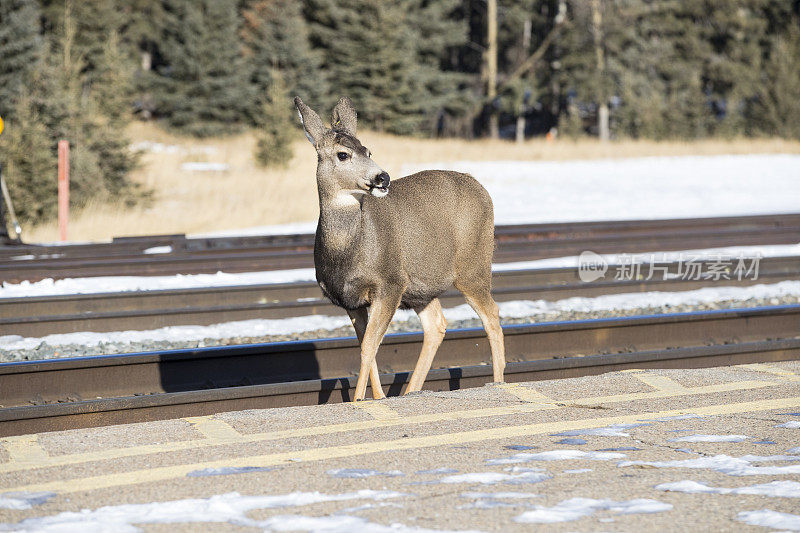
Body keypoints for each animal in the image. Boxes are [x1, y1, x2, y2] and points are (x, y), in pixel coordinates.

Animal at [294, 96, 506, 404]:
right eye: (343, 154)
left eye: (368, 149)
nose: (382, 177)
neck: (348, 251)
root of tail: (481, 189)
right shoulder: (350, 300)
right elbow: (366, 346)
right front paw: (378, 397)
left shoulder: (390, 282)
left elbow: (369, 346)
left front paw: (359, 400)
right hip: (421, 288)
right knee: (436, 324)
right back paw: (411, 390)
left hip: (473, 266)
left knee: (492, 315)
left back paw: (498, 381)